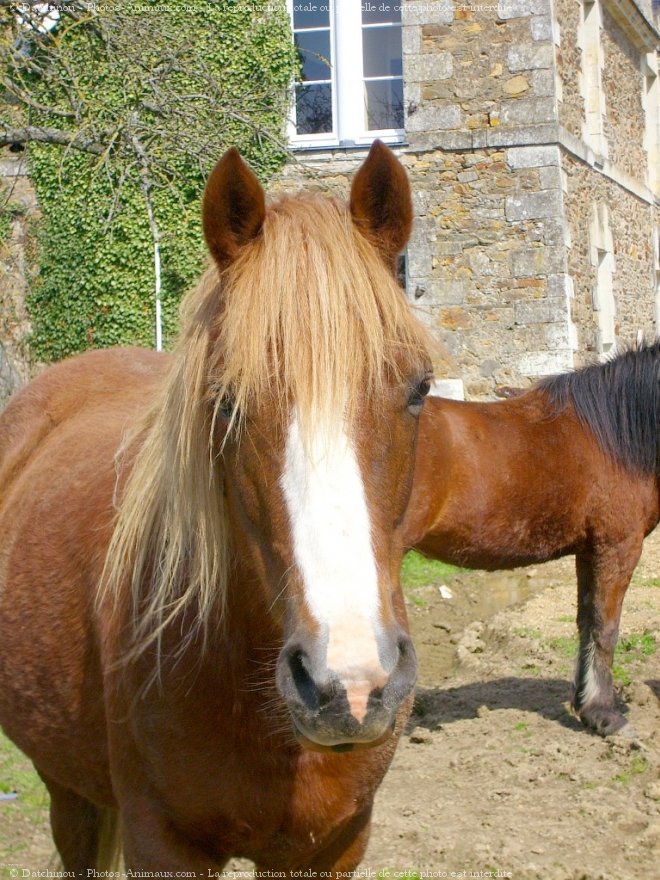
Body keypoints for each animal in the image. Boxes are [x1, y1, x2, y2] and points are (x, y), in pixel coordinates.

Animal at [0, 141, 434, 868]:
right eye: (226, 403)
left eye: (420, 389)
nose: (350, 682)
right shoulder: (163, 842)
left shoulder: (330, 847)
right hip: (67, 788)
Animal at [404, 344, 656, 736]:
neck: (616, 434)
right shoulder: (618, 547)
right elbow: (606, 627)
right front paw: (606, 715)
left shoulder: (589, 550)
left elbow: (586, 621)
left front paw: (585, 705)